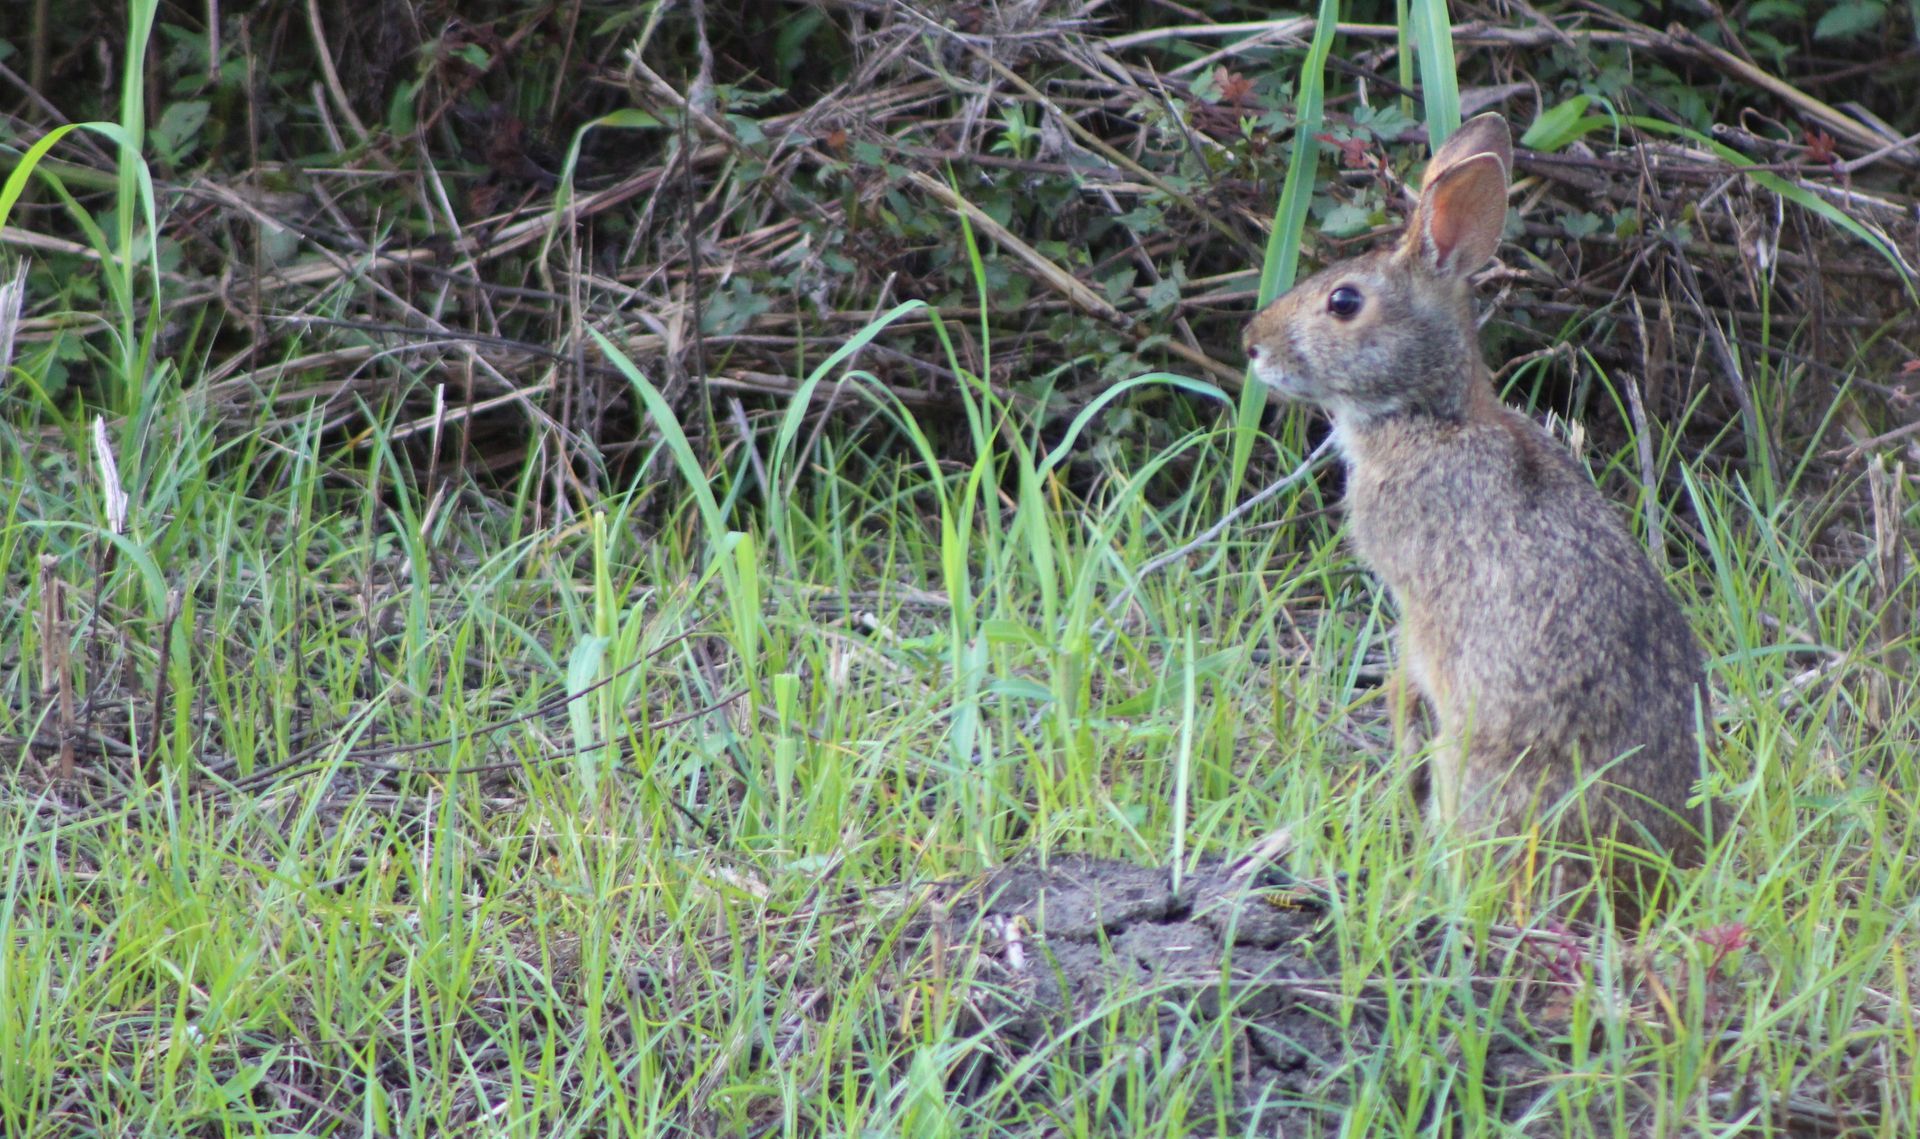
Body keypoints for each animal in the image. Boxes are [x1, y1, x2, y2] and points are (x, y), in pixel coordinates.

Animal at [1241, 113, 1711, 921]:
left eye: (1343, 302)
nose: (1252, 343)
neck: (1430, 416)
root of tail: (1640, 877)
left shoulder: (1417, 600)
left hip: (1481, 775)